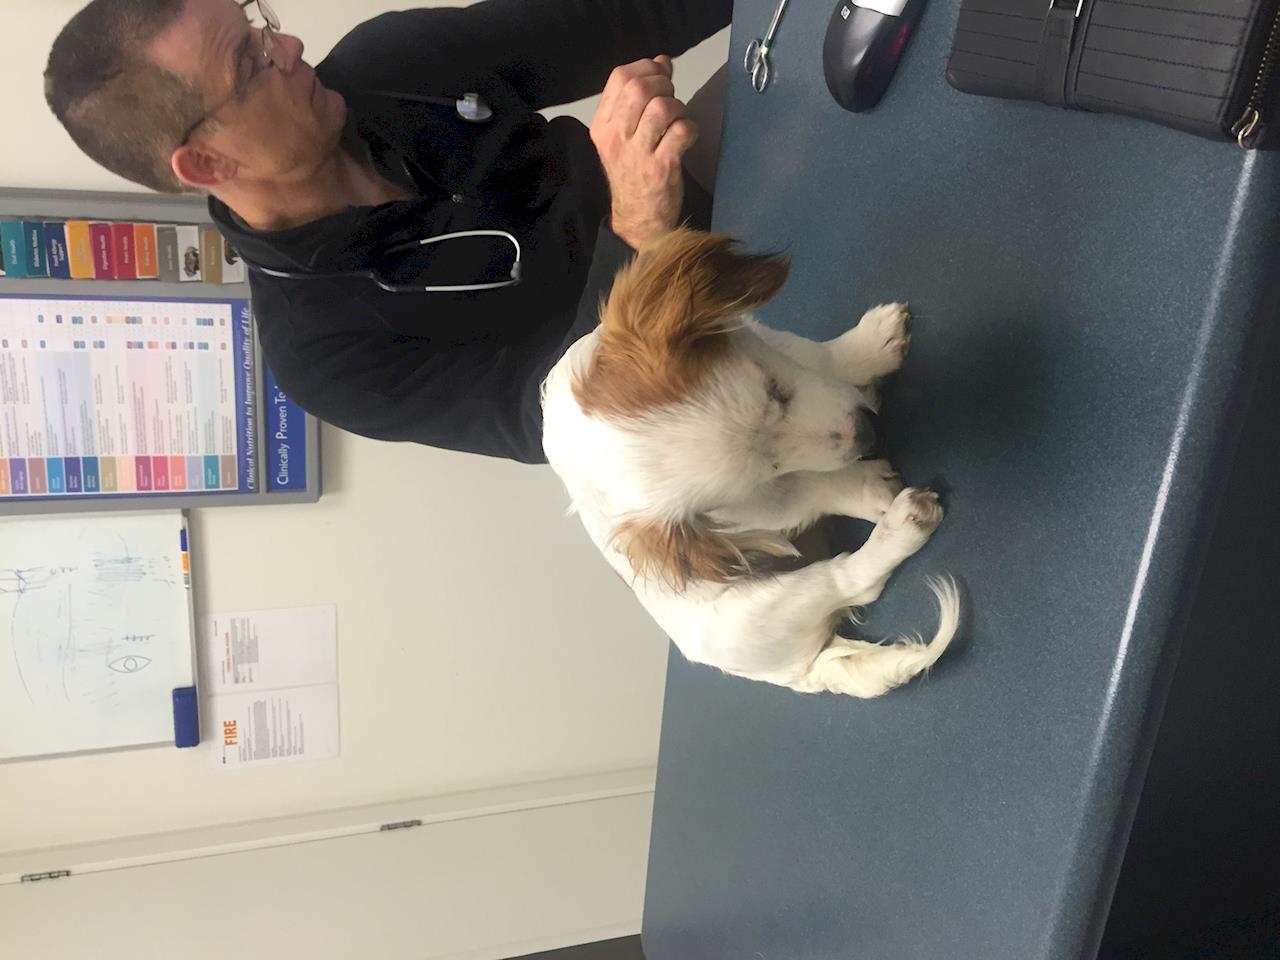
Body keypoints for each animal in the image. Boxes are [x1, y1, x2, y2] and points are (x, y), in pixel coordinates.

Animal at [541, 228, 958, 698]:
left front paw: (870, 345)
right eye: (770, 472)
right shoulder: (763, 508)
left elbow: (817, 355)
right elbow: (817, 488)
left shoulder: (761, 338)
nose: (871, 432)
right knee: (850, 581)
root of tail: (800, 672)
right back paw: (903, 524)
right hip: (766, 607)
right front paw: (868, 486)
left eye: (775, 388)